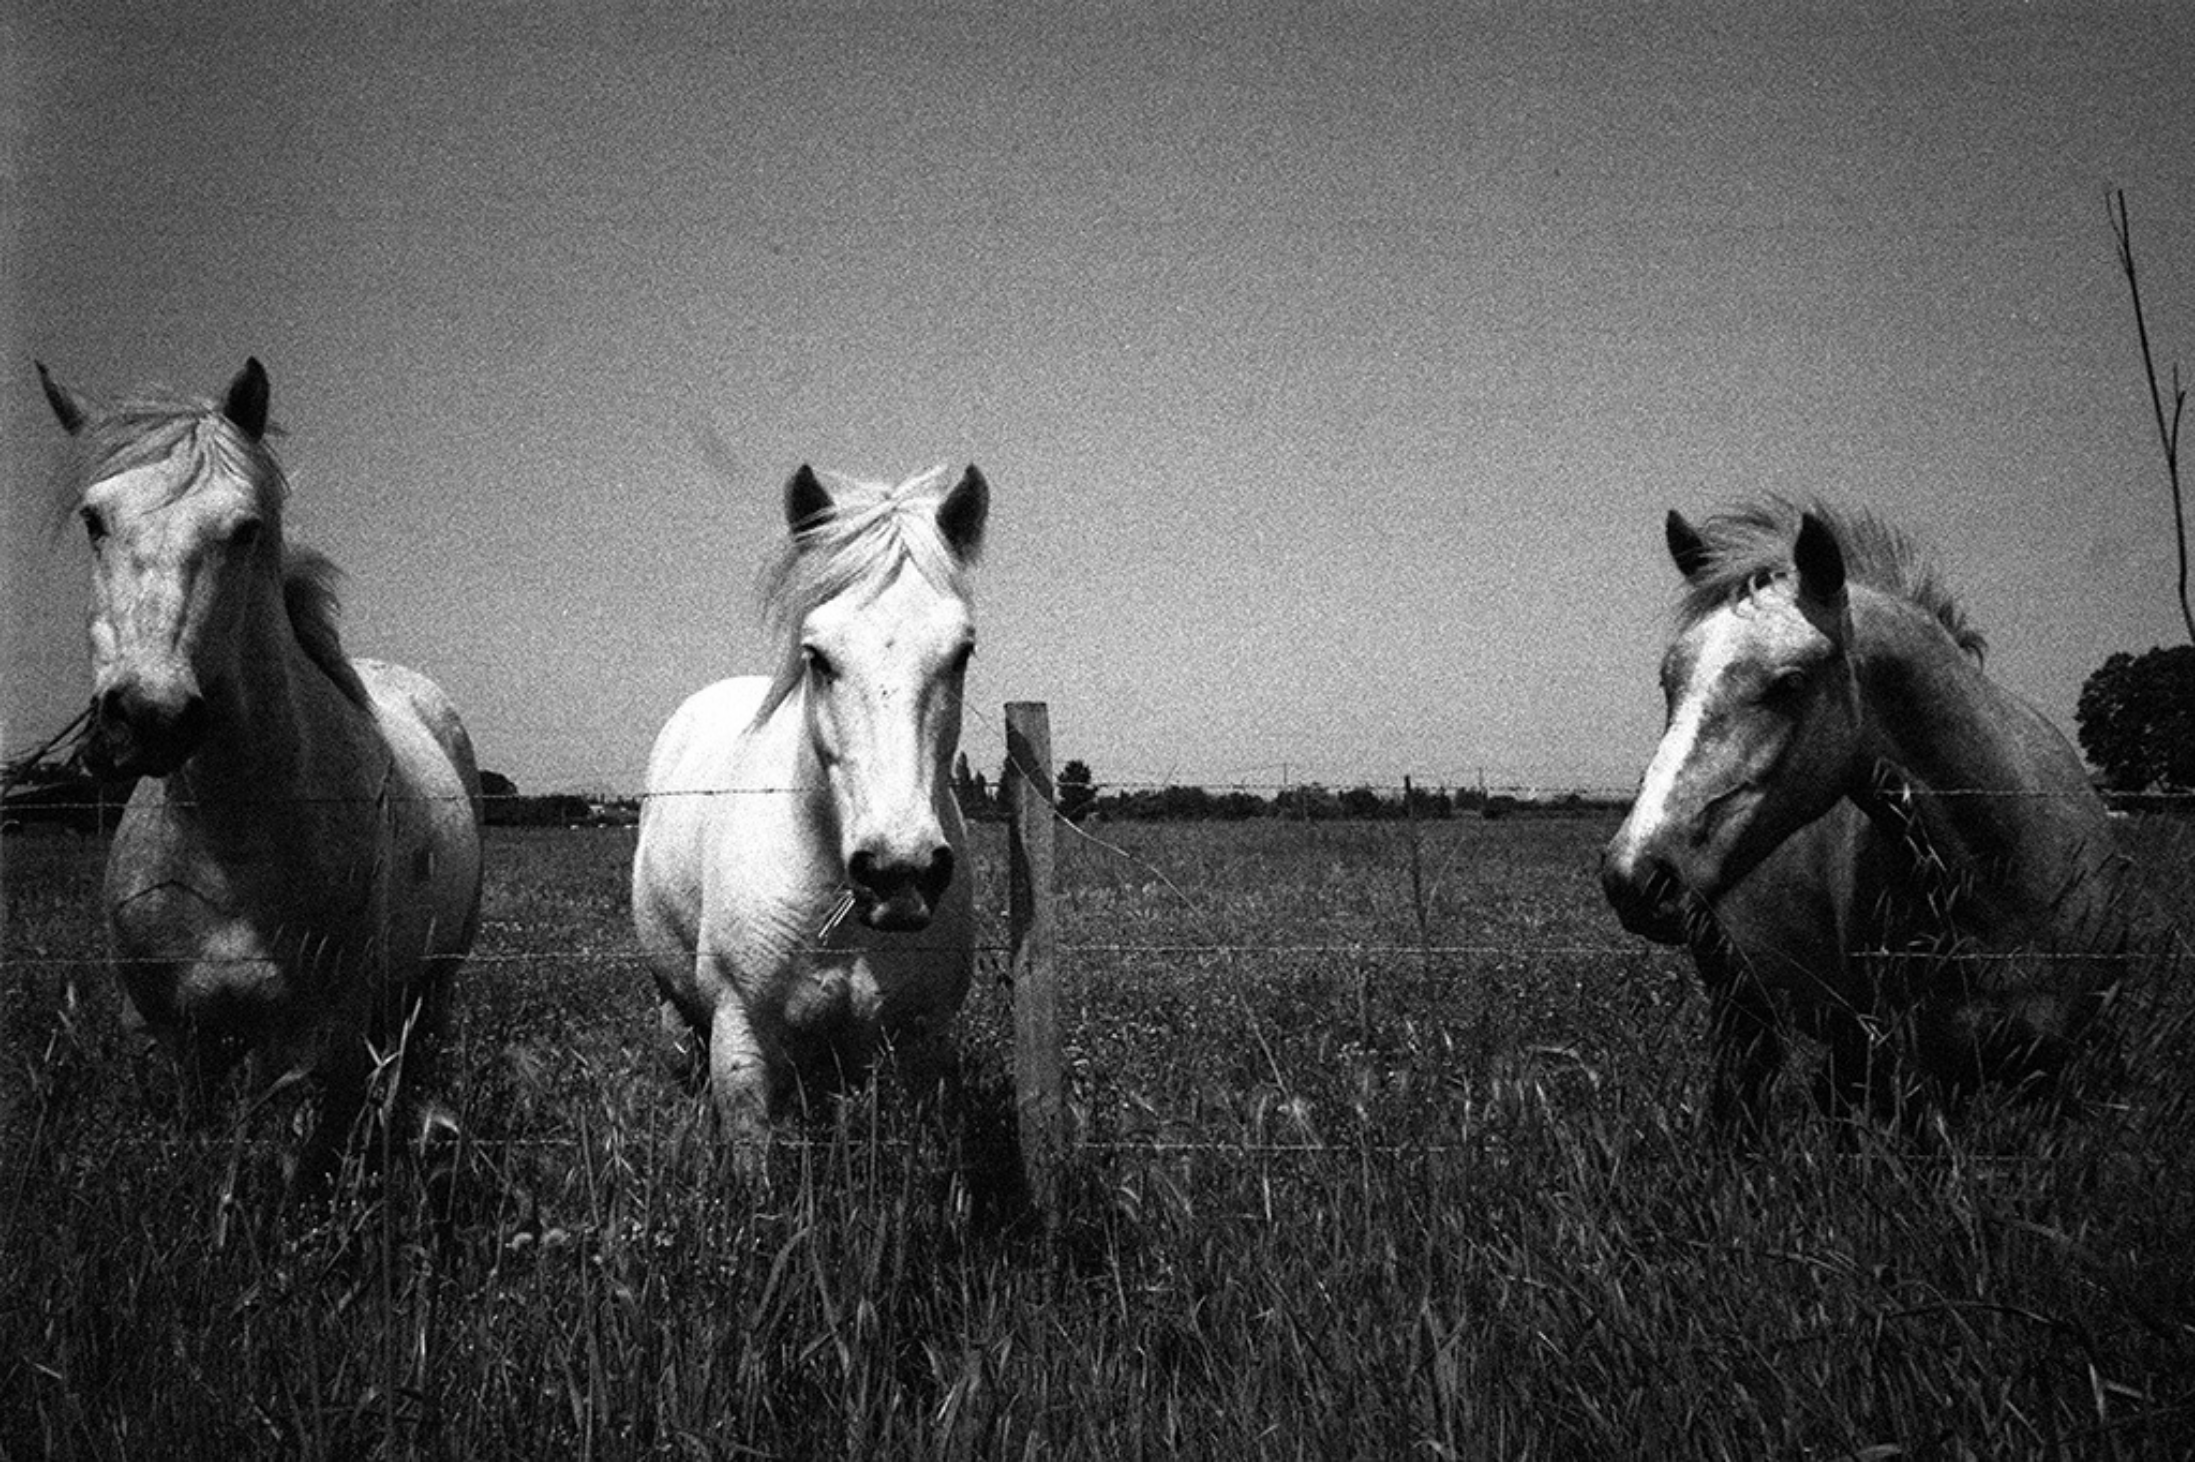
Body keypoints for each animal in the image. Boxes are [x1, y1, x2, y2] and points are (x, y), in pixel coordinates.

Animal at [40, 358, 484, 1177]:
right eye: (93, 520)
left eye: (245, 529)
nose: (149, 714)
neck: (234, 839)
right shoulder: (177, 1039)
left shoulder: (318, 1042)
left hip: (431, 986)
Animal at [631, 462, 988, 1163]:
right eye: (816, 655)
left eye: (962, 651)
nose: (899, 871)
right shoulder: (741, 1038)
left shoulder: (921, 1041)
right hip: (674, 1006)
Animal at [1600, 499, 2126, 1134]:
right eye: (1669, 681)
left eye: (1790, 683)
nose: (1634, 875)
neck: (2010, 882)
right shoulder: (1921, 1080)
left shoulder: (2068, 1081)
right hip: (1746, 1011)